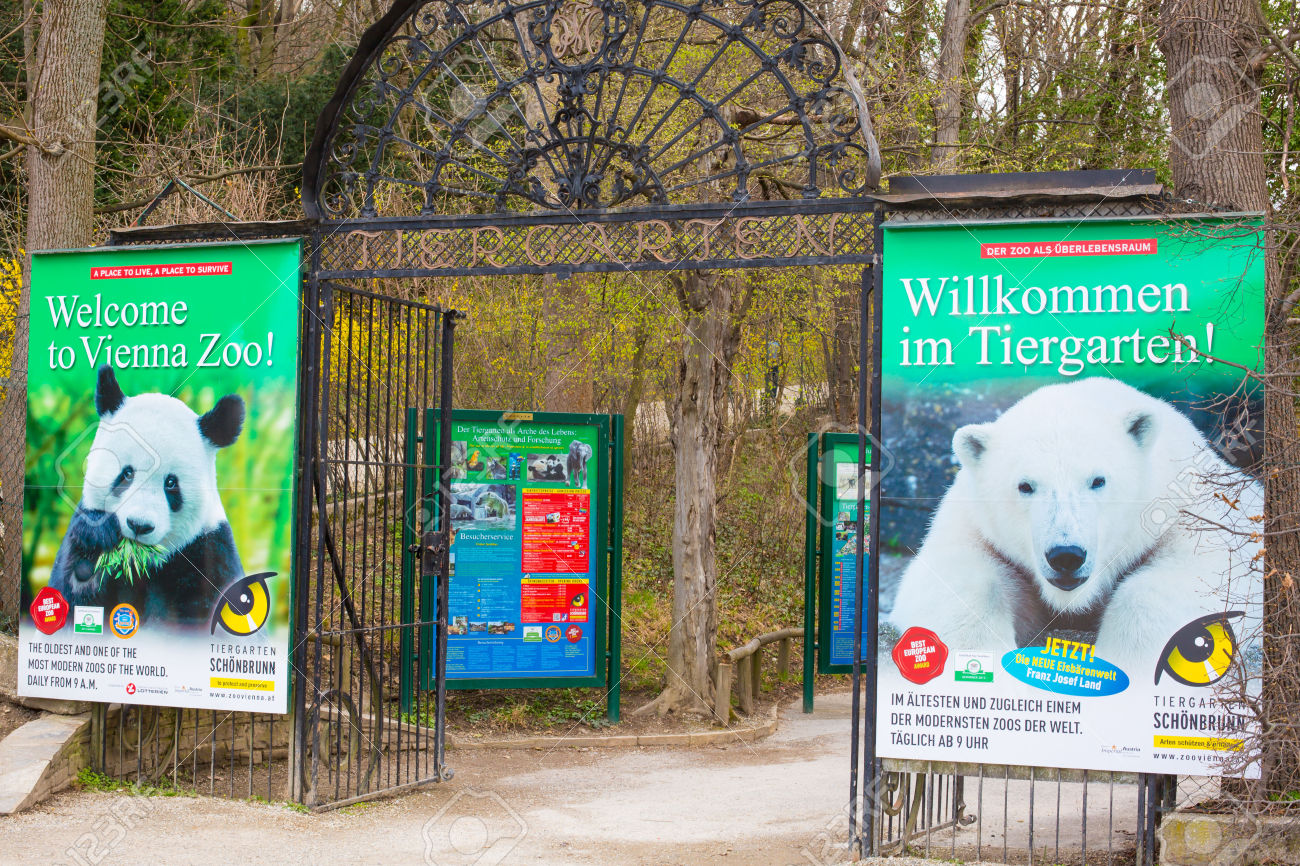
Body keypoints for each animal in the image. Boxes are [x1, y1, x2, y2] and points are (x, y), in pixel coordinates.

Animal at [49, 361, 246, 624]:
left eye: (171, 483)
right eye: (127, 473)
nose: (139, 525)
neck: (142, 562)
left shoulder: (210, 551)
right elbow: (70, 593)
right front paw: (98, 539)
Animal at [889, 379, 1263, 676]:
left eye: (1098, 480)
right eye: (1025, 486)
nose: (1065, 555)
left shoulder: (1193, 506)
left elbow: (1209, 575)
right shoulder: (973, 524)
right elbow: (952, 579)